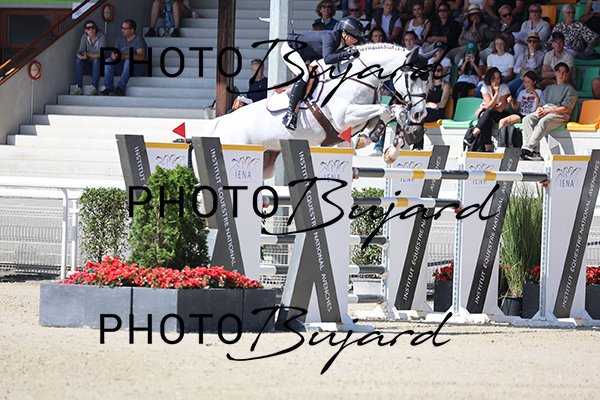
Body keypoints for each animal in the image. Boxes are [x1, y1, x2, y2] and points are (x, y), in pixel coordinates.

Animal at [201, 43, 428, 178]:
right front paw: (377, 144)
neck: (357, 76)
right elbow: (385, 109)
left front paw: (389, 148)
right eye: (413, 77)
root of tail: (218, 123)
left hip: (265, 165)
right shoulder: (345, 116)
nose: (420, 114)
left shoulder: (361, 117)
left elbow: (391, 113)